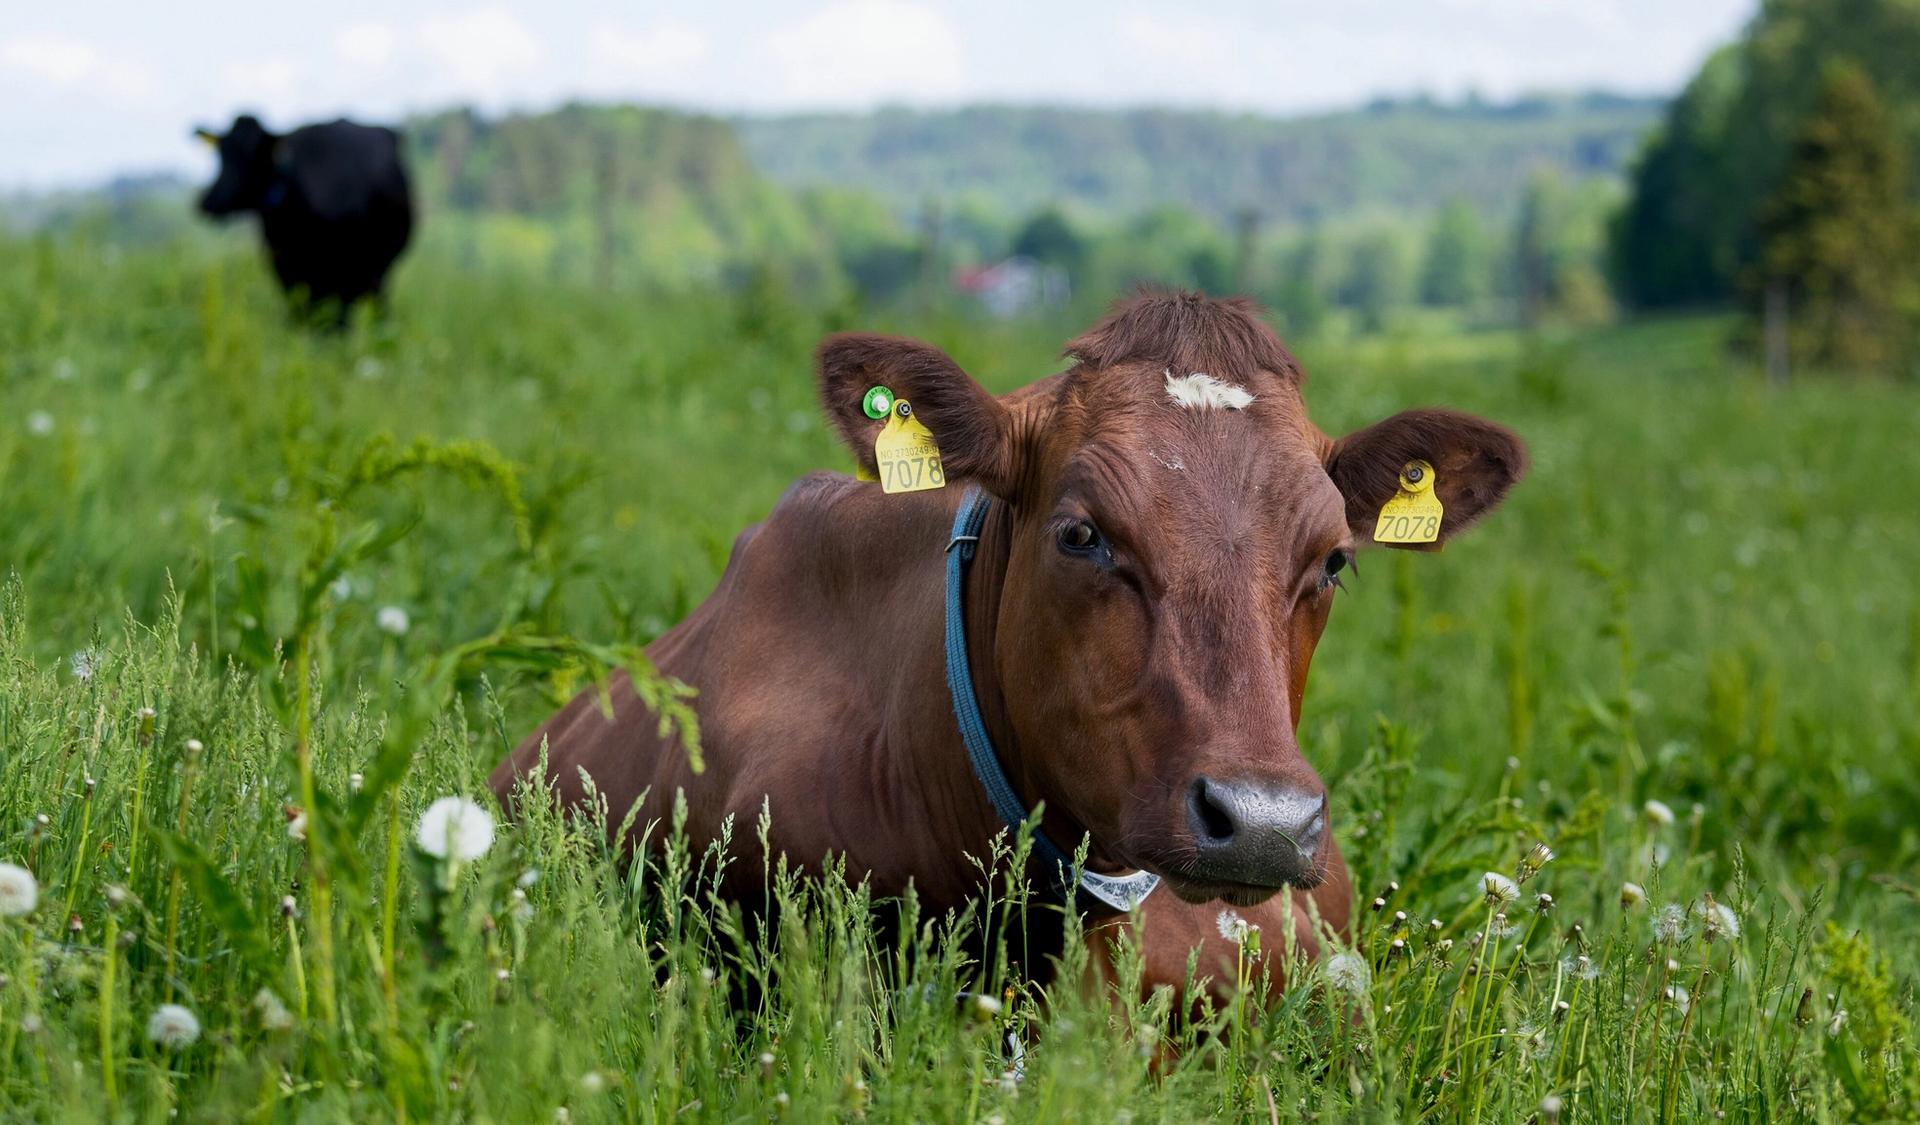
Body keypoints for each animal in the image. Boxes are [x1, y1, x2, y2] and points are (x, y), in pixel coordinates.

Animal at [193, 114, 413, 325]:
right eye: (222, 153)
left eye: (254, 155)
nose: (208, 202)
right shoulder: (285, 268)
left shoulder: (348, 268)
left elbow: (339, 317)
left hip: (378, 270)